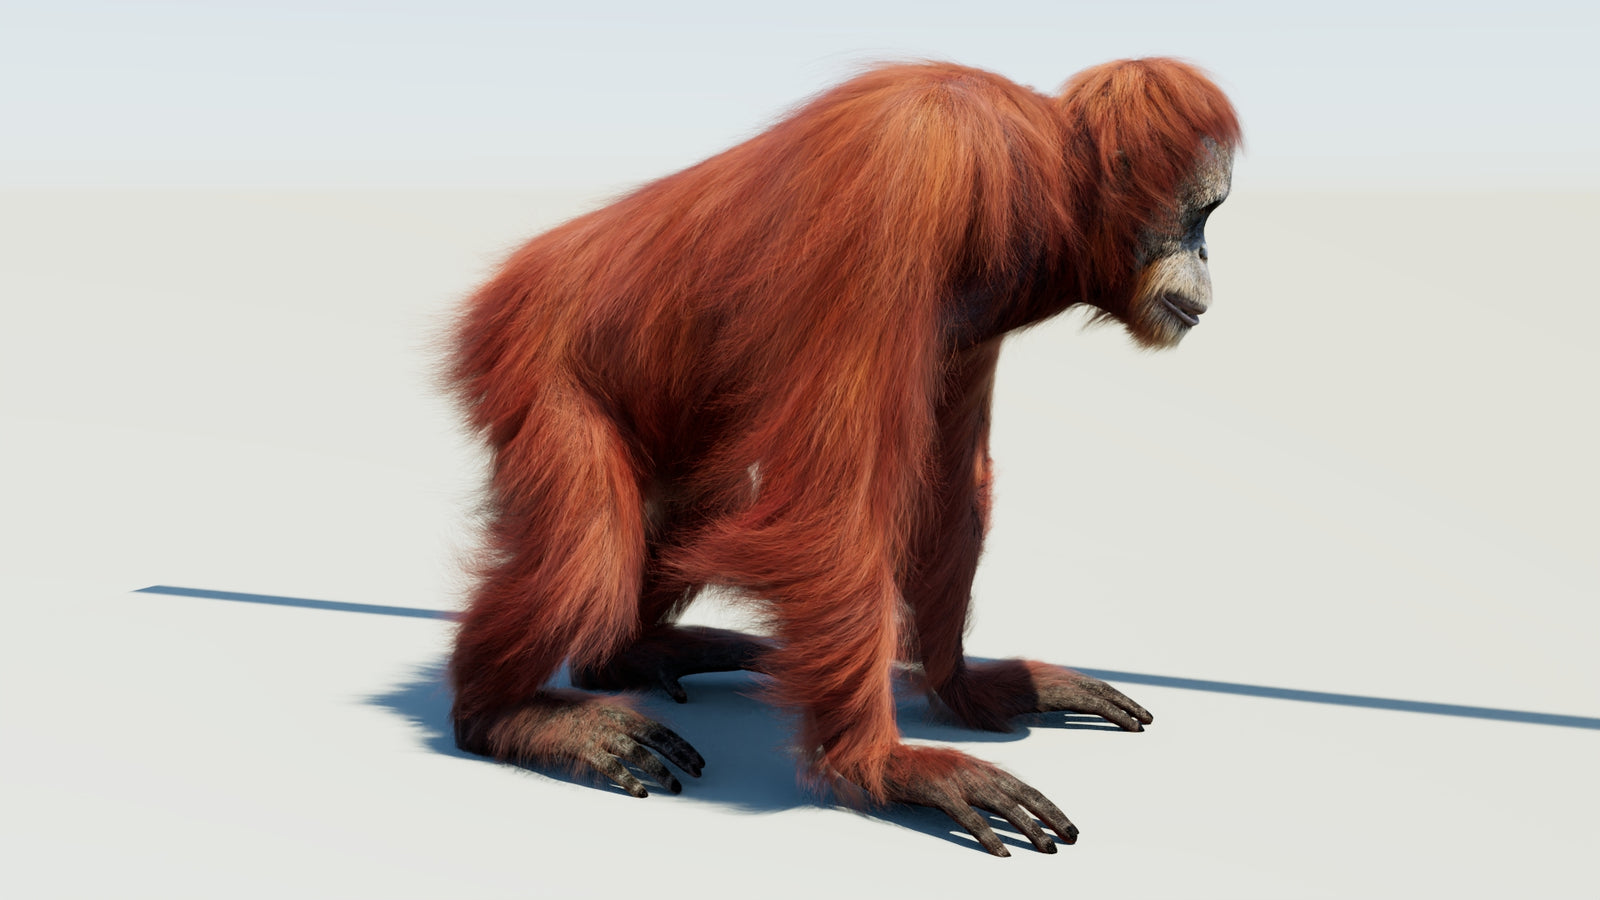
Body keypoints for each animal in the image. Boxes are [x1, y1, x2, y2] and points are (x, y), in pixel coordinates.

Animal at [445, 57, 1240, 856]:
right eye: (1203, 213)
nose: (1208, 257)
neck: (1042, 180)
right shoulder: (913, 172)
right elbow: (833, 502)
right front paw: (883, 764)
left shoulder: (978, 314)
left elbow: (945, 494)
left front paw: (976, 687)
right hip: (529, 356)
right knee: (593, 552)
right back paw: (502, 714)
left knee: (700, 506)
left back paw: (627, 657)